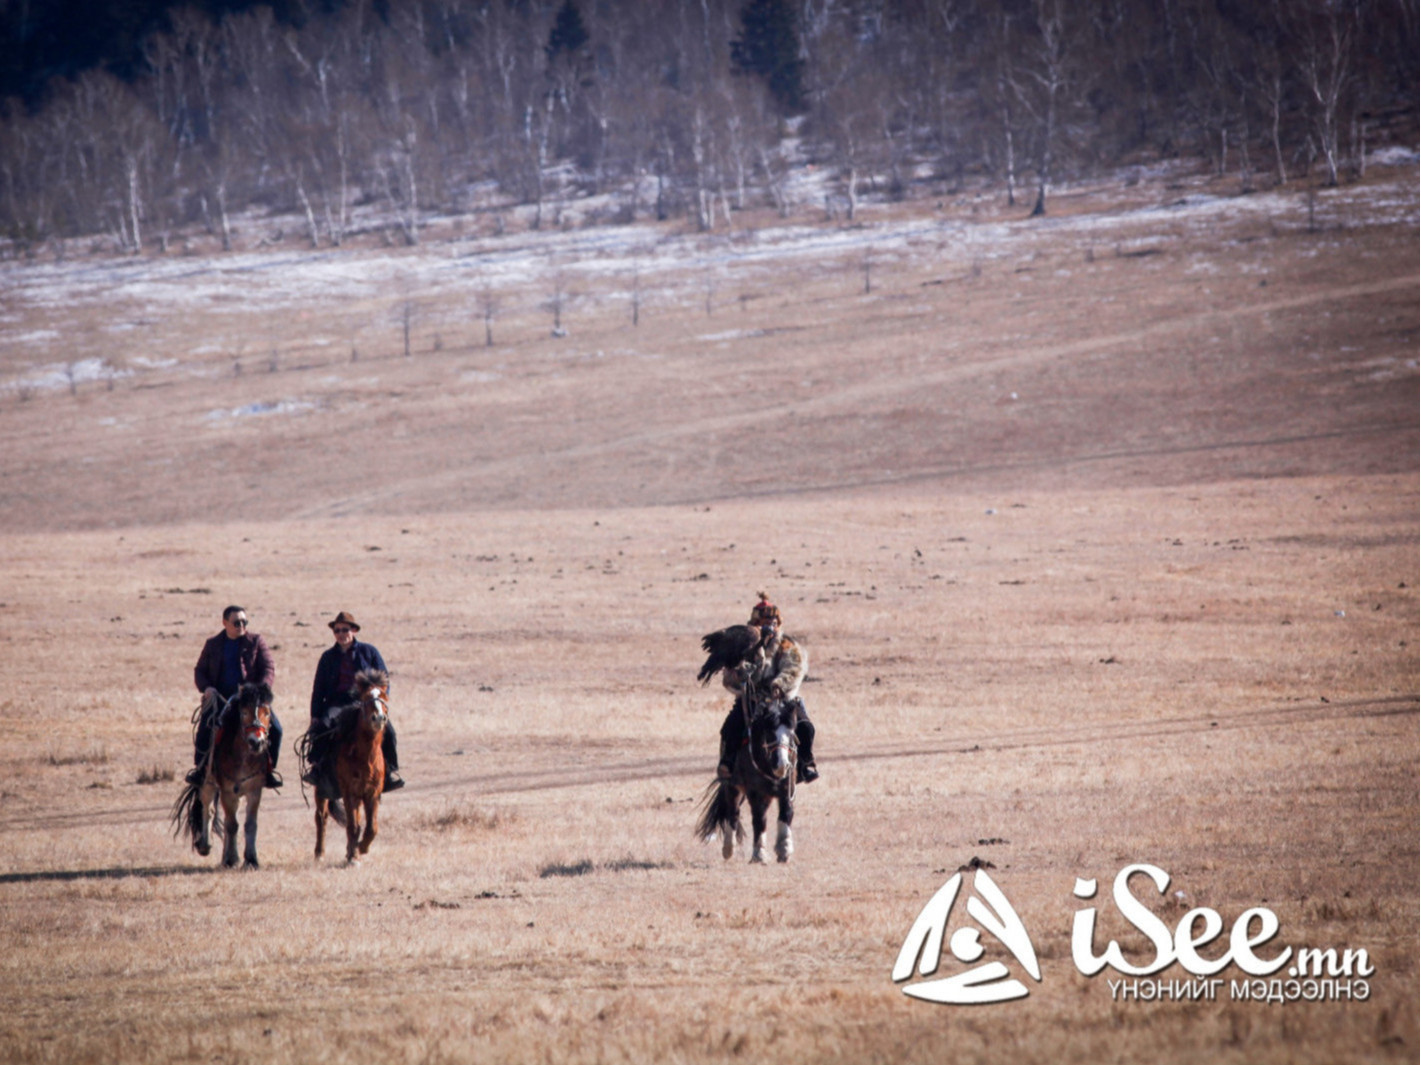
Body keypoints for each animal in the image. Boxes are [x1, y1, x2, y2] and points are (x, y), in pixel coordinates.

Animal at [170, 685, 275, 870]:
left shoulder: (254, 790)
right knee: (209, 808)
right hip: (208, 783)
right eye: (244, 712)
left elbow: (249, 824)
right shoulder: (227, 791)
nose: (256, 742)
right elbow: (232, 825)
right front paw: (232, 859)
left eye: (267, 712)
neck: (244, 756)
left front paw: (251, 859)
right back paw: (205, 846)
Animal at [309, 673, 392, 864]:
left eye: (385, 698)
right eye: (366, 698)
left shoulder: (372, 792)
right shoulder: (350, 792)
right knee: (321, 817)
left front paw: (360, 848)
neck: (365, 757)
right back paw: (319, 853)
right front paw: (353, 856)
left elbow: (371, 827)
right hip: (321, 790)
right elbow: (353, 825)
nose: (379, 718)